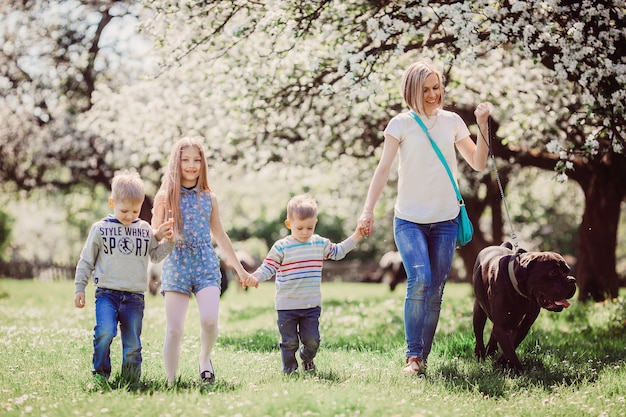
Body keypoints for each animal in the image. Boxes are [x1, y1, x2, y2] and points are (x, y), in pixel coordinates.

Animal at [470, 240, 572, 370]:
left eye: (567, 271)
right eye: (552, 272)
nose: (572, 280)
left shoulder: (523, 325)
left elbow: (511, 345)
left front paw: (500, 362)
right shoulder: (503, 325)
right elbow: (509, 349)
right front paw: (519, 370)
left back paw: (491, 350)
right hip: (479, 311)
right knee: (478, 333)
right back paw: (480, 354)